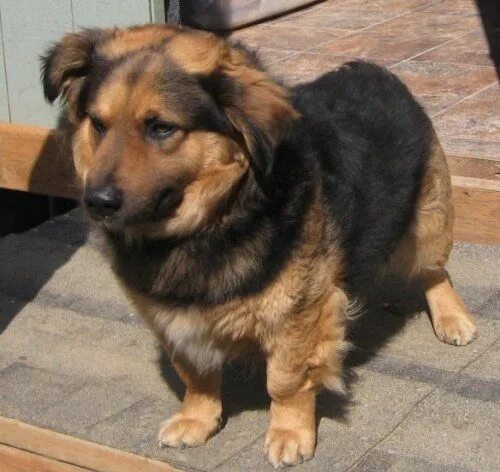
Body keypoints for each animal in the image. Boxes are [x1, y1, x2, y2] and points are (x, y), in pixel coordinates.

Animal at [41, 24, 474, 466]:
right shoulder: (174, 321)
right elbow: (195, 374)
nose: (98, 201)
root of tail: (372, 70)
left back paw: (452, 317)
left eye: (160, 128)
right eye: (98, 124)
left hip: (428, 223)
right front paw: (197, 419)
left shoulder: (299, 311)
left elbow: (285, 380)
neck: (215, 218)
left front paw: (289, 432)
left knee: (434, 272)